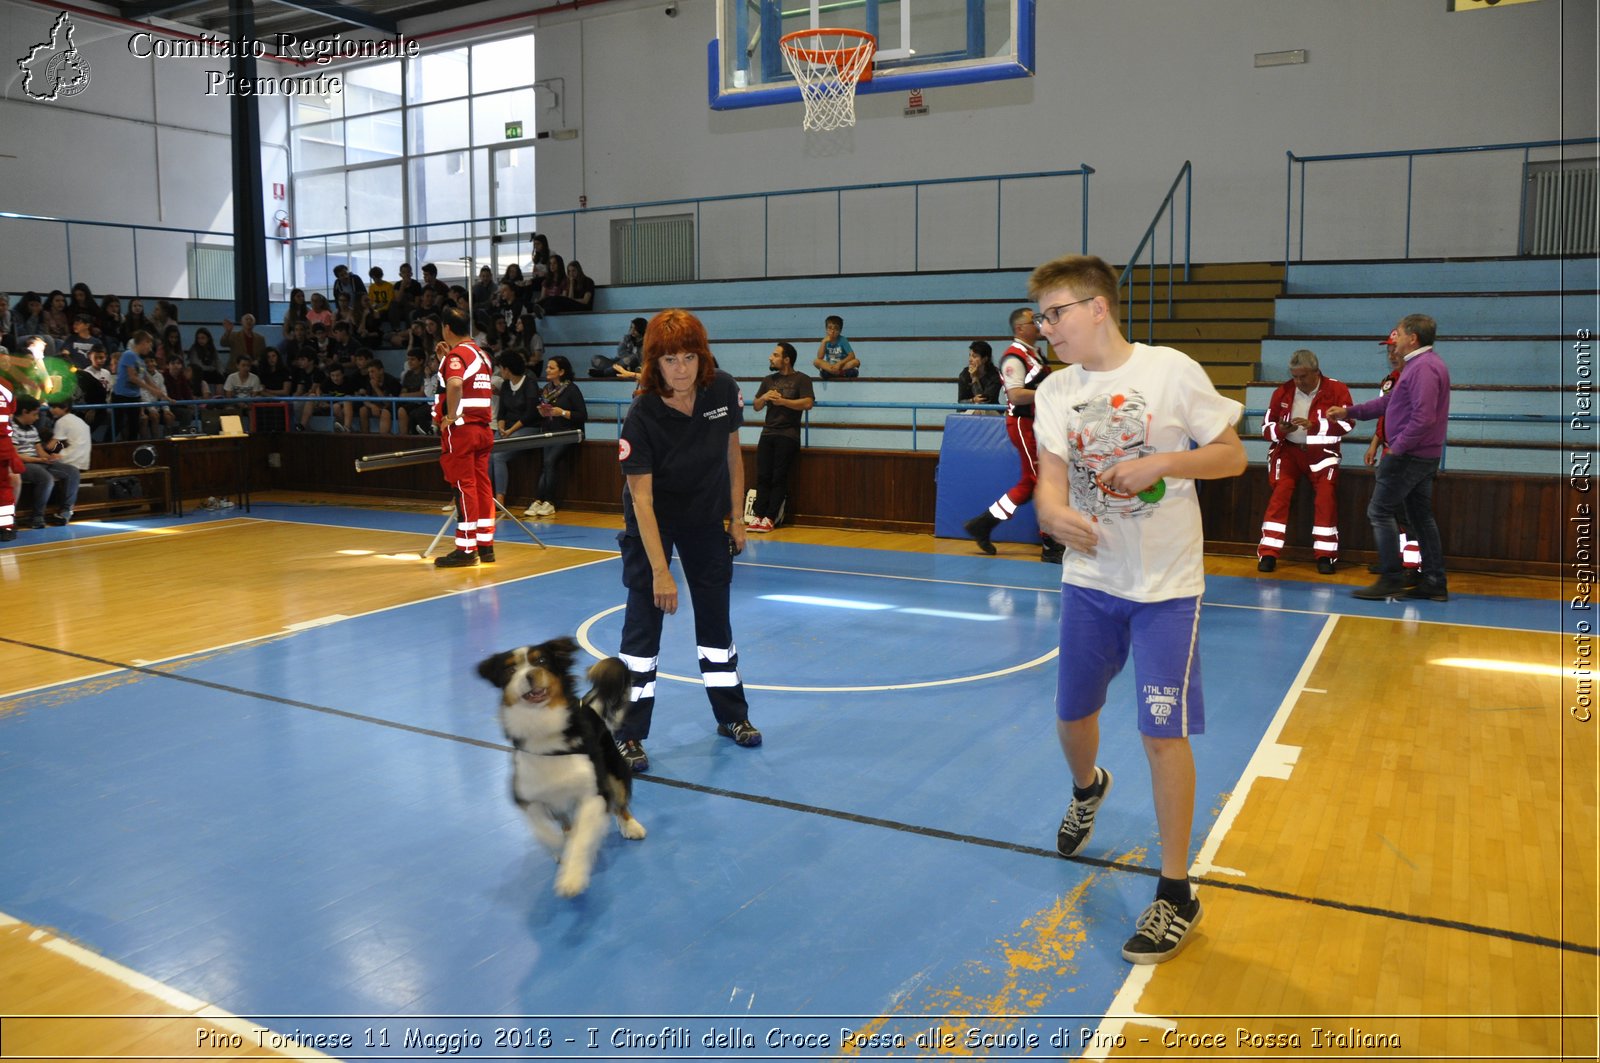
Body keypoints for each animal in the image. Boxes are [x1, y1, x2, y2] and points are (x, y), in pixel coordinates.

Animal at [476, 640, 646, 896]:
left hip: (613, 770)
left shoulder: (594, 793)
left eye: (542, 661)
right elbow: (541, 827)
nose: (530, 675)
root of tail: (589, 706)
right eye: (510, 670)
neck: (544, 732)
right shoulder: (526, 795)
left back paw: (631, 827)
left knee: (621, 801)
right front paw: (558, 844)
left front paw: (572, 878)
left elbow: (583, 837)